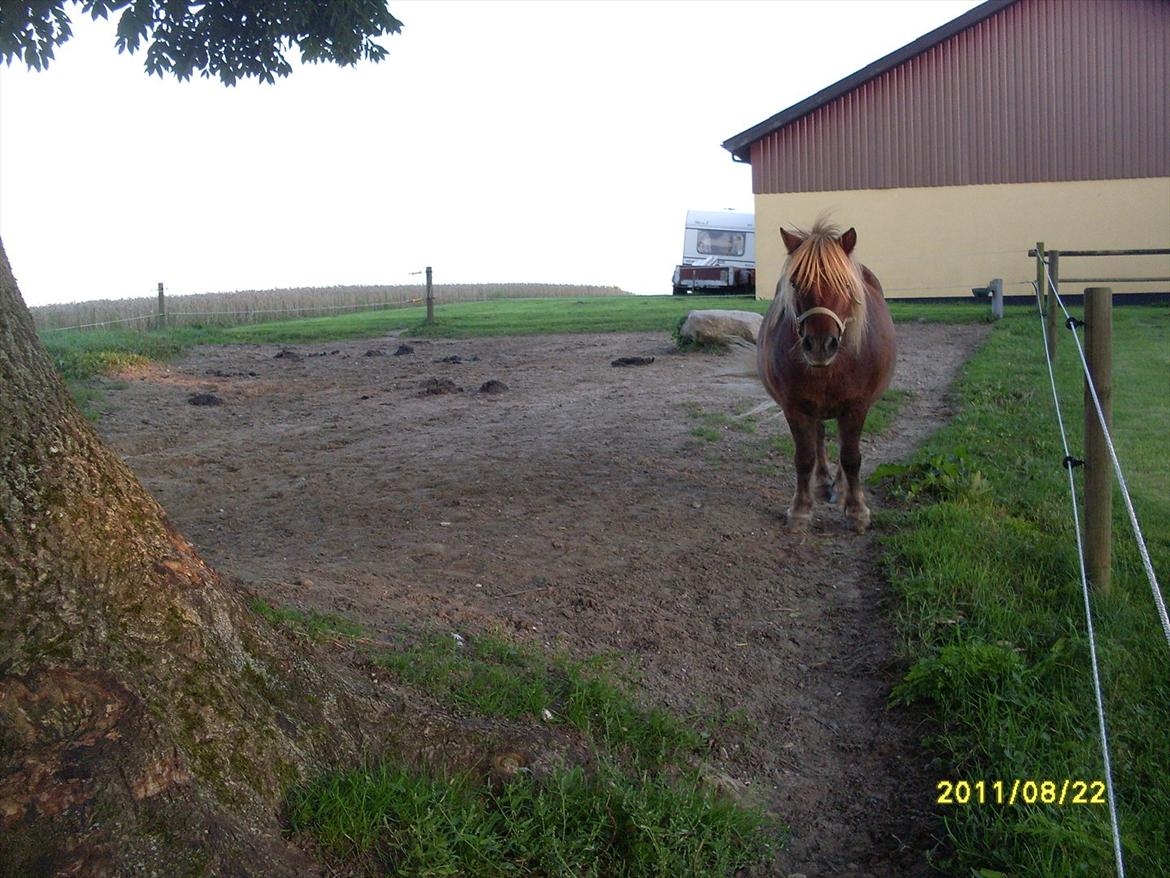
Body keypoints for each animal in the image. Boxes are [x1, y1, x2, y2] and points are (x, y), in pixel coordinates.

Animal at [758, 223, 893, 533]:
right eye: (795, 283)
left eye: (845, 284)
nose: (820, 345)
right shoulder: (795, 408)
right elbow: (804, 457)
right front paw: (800, 509)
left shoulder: (856, 406)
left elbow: (851, 457)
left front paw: (857, 511)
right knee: (819, 436)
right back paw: (821, 484)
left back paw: (841, 488)